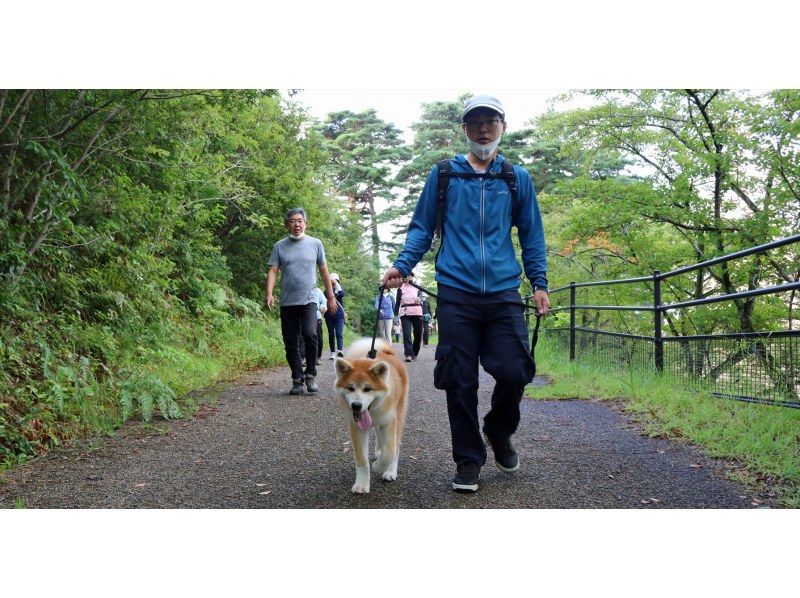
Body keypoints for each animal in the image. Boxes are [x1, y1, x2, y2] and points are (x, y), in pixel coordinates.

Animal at [334, 340, 410, 494]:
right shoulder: (357, 428)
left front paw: (379, 467)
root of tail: (387, 352)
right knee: (379, 435)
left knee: (395, 445)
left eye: (367, 389)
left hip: (398, 414)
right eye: (350, 388)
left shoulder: (390, 421)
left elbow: (390, 451)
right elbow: (361, 460)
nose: (356, 405)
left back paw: (390, 470)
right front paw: (361, 484)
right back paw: (378, 451)